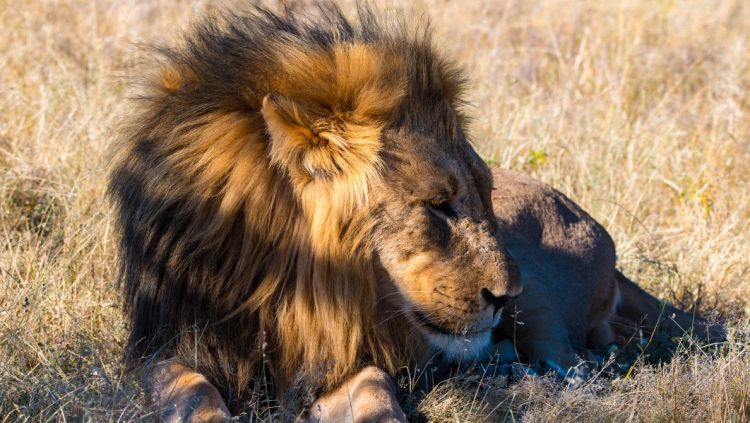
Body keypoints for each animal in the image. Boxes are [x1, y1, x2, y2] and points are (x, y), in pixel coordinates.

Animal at [107, 1, 724, 422]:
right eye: (438, 205)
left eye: (483, 195)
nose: (503, 296)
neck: (289, 284)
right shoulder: (162, 347)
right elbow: (193, 395)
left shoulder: (344, 359)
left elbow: (377, 395)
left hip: (543, 303)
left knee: (578, 366)